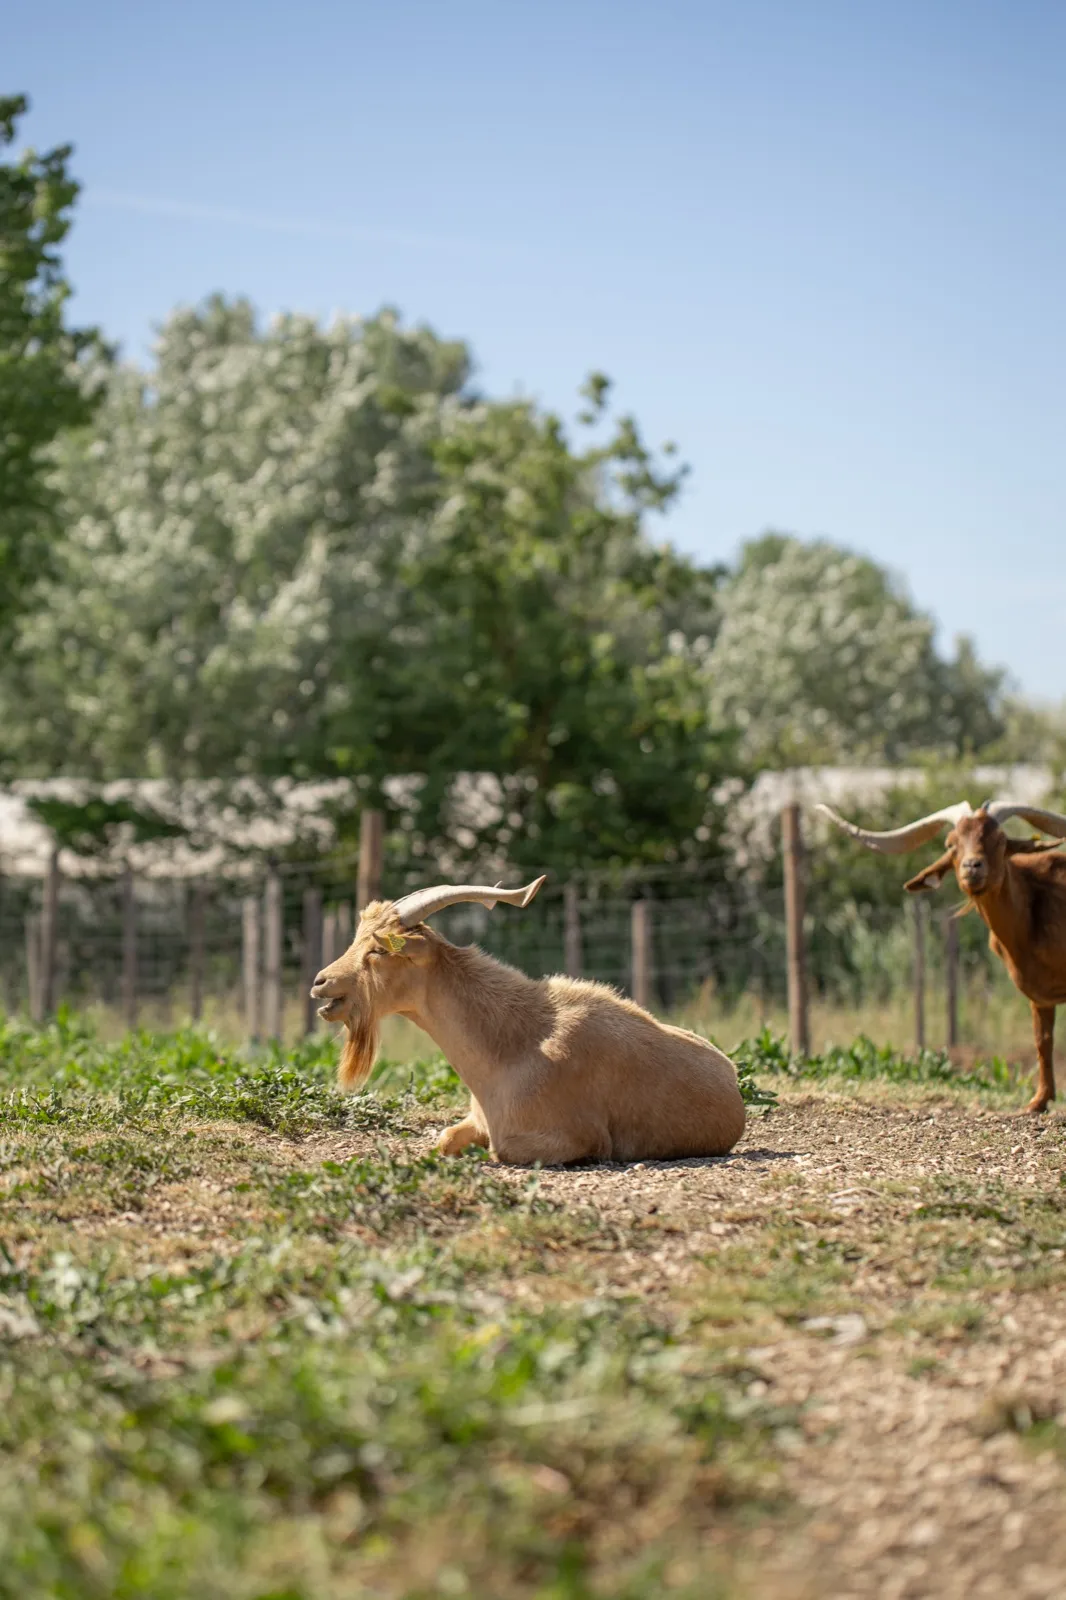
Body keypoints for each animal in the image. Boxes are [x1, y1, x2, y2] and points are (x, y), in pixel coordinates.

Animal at [310, 877, 746, 1164]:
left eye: (378, 951)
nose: (321, 982)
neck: (511, 1047)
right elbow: (445, 1138)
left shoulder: (580, 1138)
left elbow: (499, 1150)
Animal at [818, 800, 1066, 1113]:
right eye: (951, 843)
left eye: (999, 840)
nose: (972, 866)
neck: (1033, 910)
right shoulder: (1039, 996)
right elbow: (1042, 1040)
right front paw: (1039, 1100)